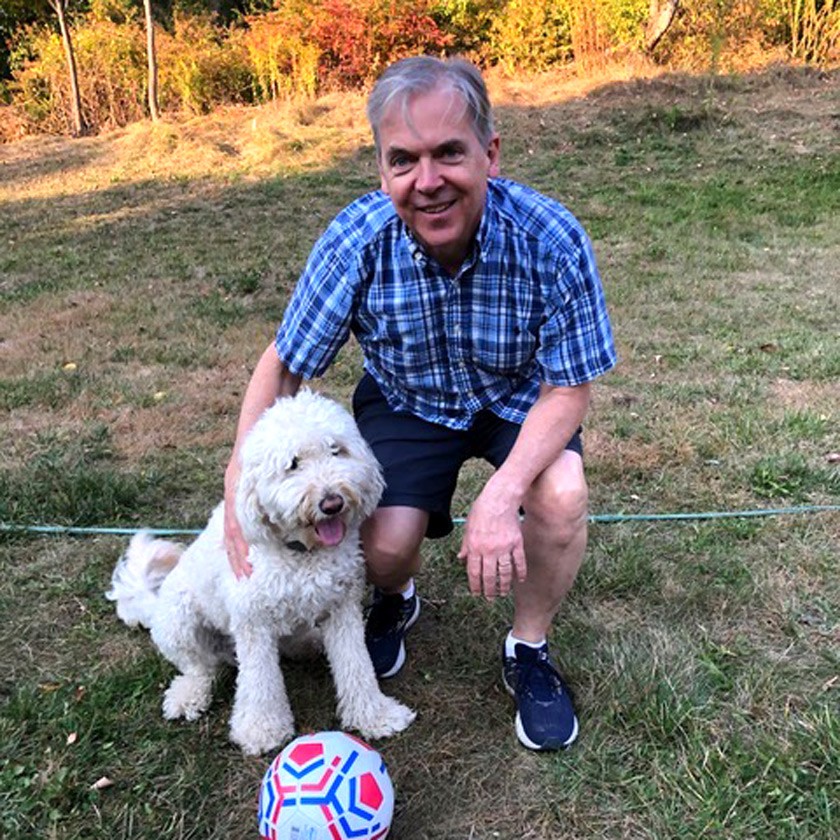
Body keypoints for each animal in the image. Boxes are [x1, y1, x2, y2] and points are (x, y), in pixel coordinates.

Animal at [106, 392, 416, 756]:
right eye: (292, 463)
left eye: (336, 450)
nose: (332, 502)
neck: (302, 552)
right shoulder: (253, 623)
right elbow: (260, 682)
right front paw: (261, 729)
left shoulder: (342, 610)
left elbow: (357, 666)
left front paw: (375, 715)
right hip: (180, 623)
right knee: (199, 667)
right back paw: (189, 695)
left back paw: (309, 644)